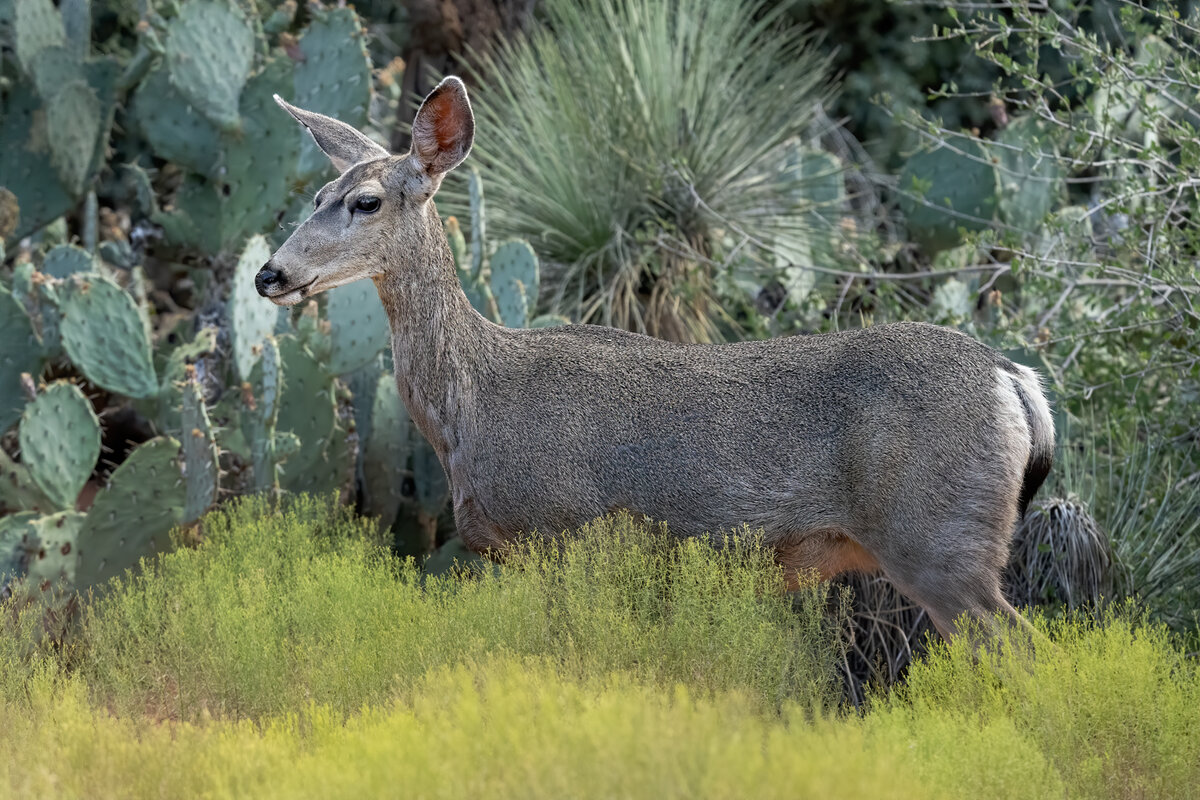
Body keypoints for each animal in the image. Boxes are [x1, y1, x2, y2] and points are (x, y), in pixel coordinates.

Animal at [256, 76, 1054, 640]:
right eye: (318, 193)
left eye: (364, 201)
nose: (270, 273)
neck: (472, 404)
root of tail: (1014, 380)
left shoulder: (565, 532)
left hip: (938, 539)